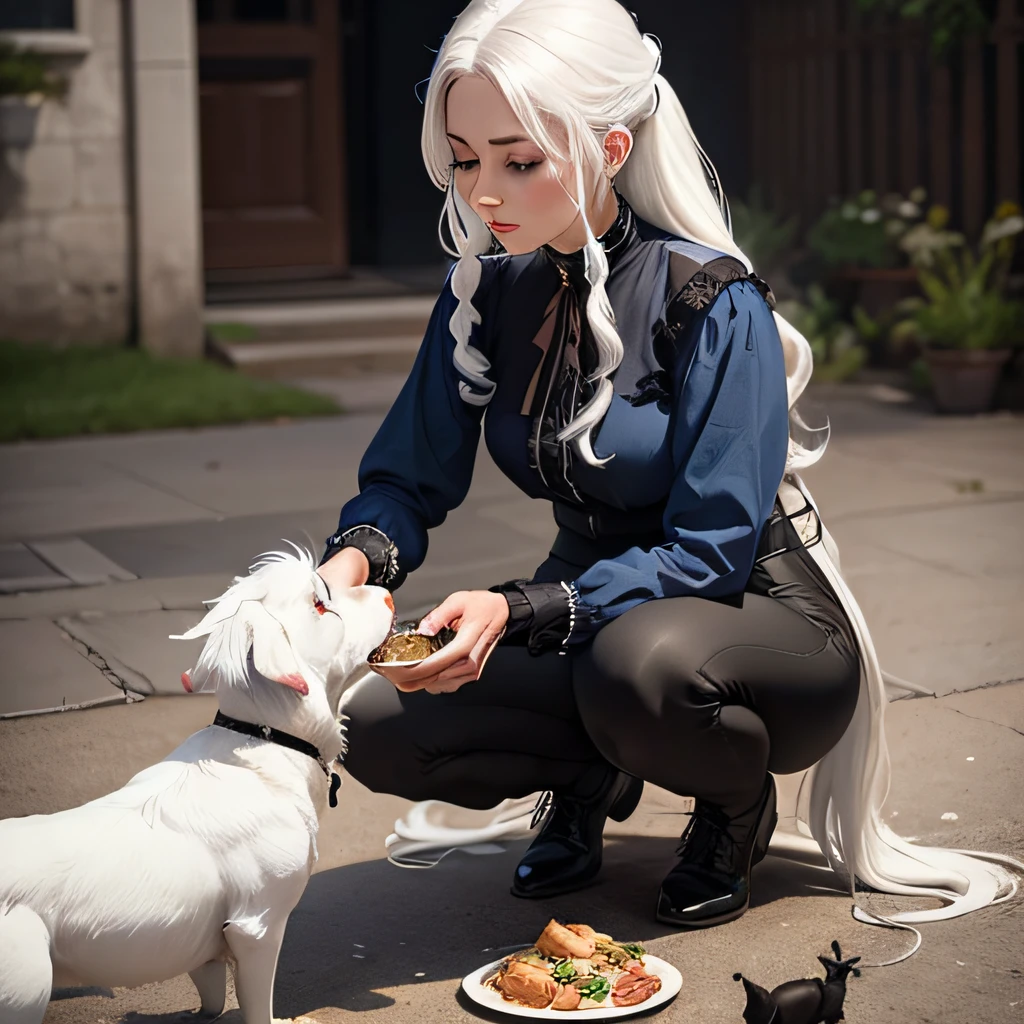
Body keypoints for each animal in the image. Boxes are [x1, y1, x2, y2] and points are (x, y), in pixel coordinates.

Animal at [0, 548, 395, 1019]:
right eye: (320, 605)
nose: (388, 595)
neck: (264, 739)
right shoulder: (258, 926)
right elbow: (257, 1005)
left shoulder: (208, 950)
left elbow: (211, 993)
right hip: (26, 988)